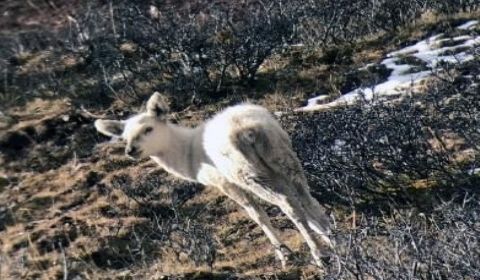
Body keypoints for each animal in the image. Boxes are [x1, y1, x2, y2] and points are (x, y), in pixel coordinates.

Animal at [94, 92, 334, 270]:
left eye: (148, 128)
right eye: (124, 137)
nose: (130, 150)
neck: (189, 158)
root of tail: (251, 131)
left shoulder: (226, 183)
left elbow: (257, 216)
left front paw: (284, 255)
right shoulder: (275, 175)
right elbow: (303, 207)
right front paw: (324, 238)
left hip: (248, 173)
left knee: (287, 204)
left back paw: (319, 255)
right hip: (283, 159)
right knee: (306, 198)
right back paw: (335, 240)